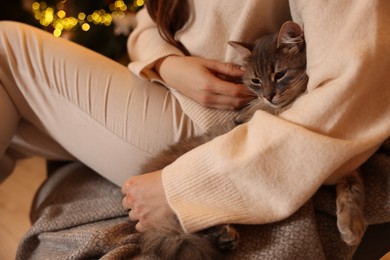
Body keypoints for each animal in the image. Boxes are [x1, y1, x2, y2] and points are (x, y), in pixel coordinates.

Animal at [136, 20, 364, 260]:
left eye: (279, 74)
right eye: (256, 80)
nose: (268, 96)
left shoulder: (344, 160)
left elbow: (352, 186)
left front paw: (351, 224)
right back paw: (223, 235)